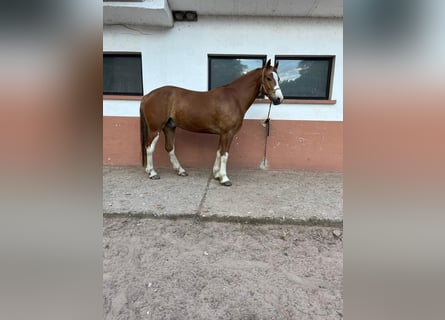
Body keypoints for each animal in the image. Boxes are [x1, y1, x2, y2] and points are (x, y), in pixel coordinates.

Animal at [140, 58, 282, 186]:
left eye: (279, 79)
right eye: (268, 78)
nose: (279, 99)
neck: (234, 98)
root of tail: (147, 96)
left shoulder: (222, 134)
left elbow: (219, 152)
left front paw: (217, 175)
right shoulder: (228, 133)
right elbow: (225, 154)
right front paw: (224, 178)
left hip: (169, 127)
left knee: (169, 148)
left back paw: (180, 170)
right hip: (155, 129)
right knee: (149, 147)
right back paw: (152, 173)